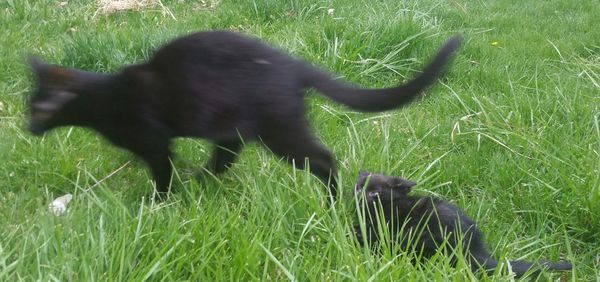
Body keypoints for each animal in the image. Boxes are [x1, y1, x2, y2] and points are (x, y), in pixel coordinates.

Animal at [25, 30, 462, 199]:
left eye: (38, 109)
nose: (28, 128)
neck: (105, 96)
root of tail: (291, 64)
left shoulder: (154, 142)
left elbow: (161, 171)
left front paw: (158, 202)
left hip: (279, 131)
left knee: (324, 159)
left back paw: (331, 201)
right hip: (232, 130)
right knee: (223, 160)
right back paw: (200, 180)